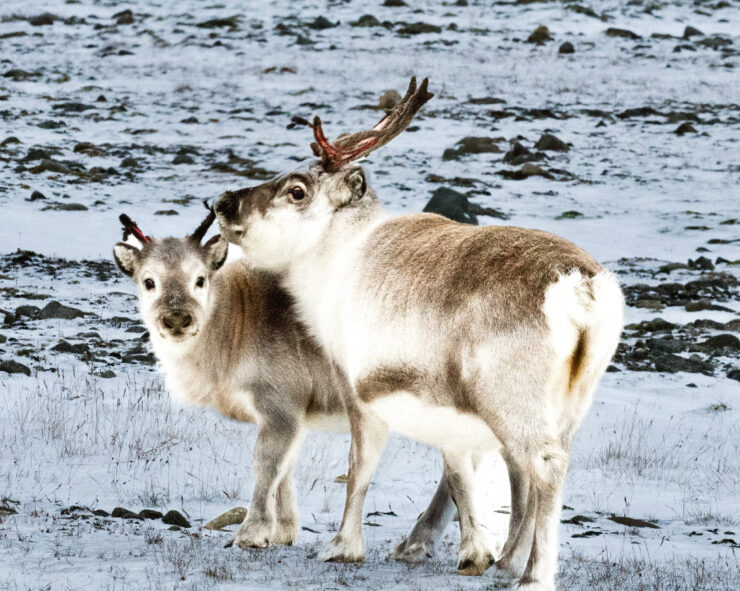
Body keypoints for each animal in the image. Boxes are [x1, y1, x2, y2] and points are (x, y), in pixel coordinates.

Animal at [112, 206, 460, 558]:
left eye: (200, 278)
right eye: (149, 282)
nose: (177, 319)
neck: (232, 329)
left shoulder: (280, 401)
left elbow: (266, 463)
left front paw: (252, 532)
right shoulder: (294, 415)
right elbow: (285, 468)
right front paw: (284, 531)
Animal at [213, 77, 624, 590]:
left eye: (296, 190)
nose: (224, 202)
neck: (336, 261)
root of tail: (581, 287)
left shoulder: (357, 386)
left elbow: (360, 468)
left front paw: (342, 546)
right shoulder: (449, 407)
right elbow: (458, 472)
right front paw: (469, 552)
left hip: (510, 397)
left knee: (544, 466)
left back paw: (532, 575)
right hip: (570, 402)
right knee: (536, 468)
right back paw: (509, 561)